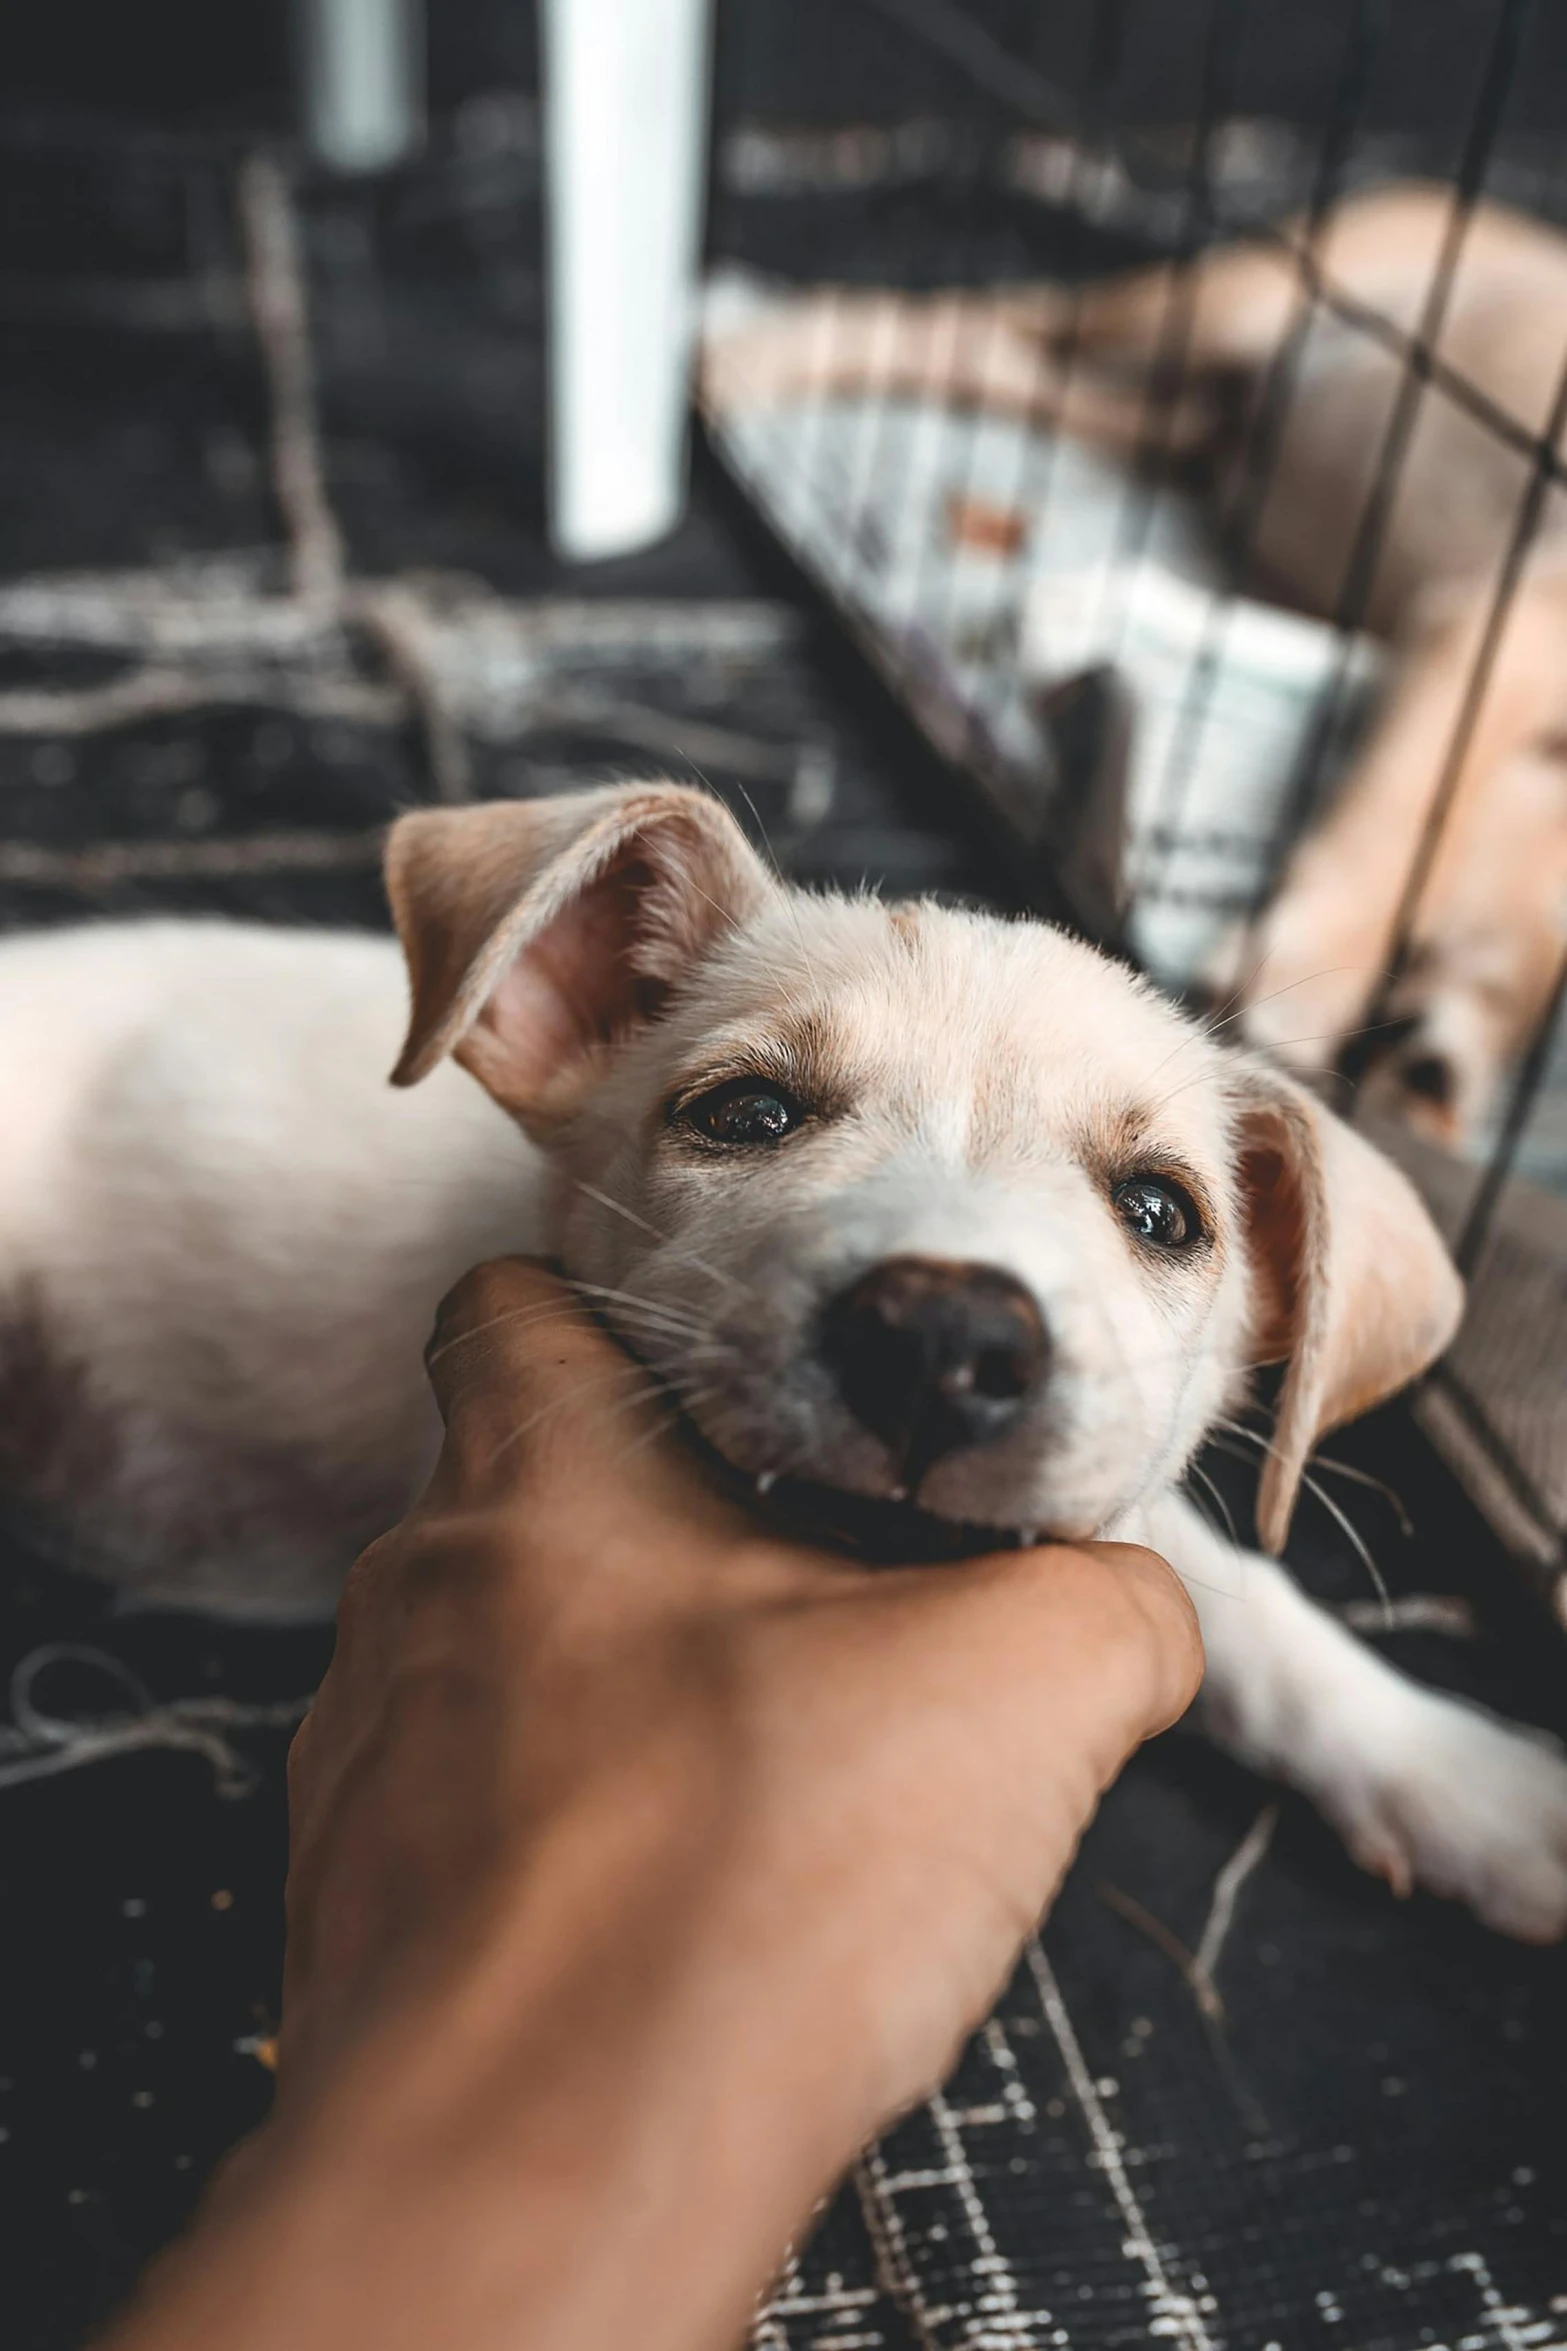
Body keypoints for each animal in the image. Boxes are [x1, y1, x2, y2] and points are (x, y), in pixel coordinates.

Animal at [704, 181, 1567, 1137]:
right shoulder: (1504, 627)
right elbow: (1411, 812)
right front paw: (1300, 984)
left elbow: (1519, 901)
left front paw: (1441, 1050)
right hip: (1211, 302)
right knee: (993, 315)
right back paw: (745, 349)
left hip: (1181, 415)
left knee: (1001, 360)